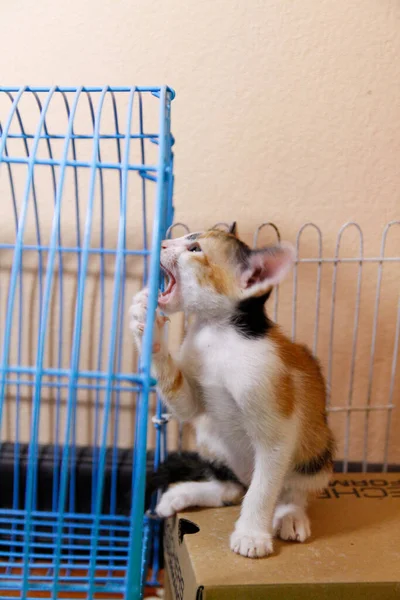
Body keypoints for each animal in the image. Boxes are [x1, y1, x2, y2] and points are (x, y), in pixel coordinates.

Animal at [130, 224, 332, 556]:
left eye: (195, 249)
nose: (163, 242)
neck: (217, 333)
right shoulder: (195, 393)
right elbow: (186, 403)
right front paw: (148, 327)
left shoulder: (278, 420)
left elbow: (264, 486)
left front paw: (252, 535)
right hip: (210, 436)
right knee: (233, 488)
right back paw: (183, 493)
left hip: (318, 449)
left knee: (289, 489)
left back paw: (290, 515)